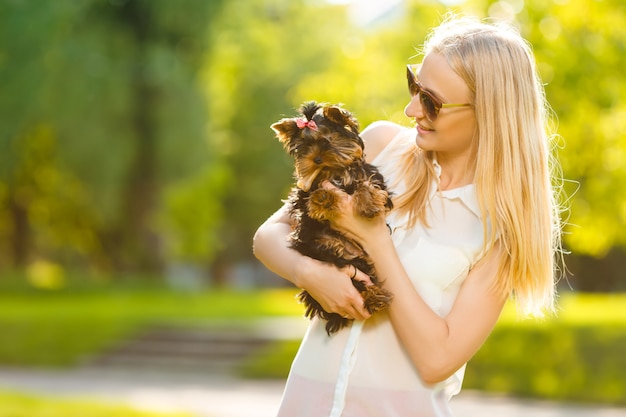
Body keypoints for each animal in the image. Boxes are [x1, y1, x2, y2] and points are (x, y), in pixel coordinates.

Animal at [270, 101, 392, 334]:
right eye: (304, 146)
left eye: (326, 141)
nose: (315, 159)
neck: (335, 171)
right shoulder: (304, 190)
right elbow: (310, 196)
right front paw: (323, 197)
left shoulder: (369, 177)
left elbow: (367, 184)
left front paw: (368, 203)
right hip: (327, 253)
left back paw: (375, 298)